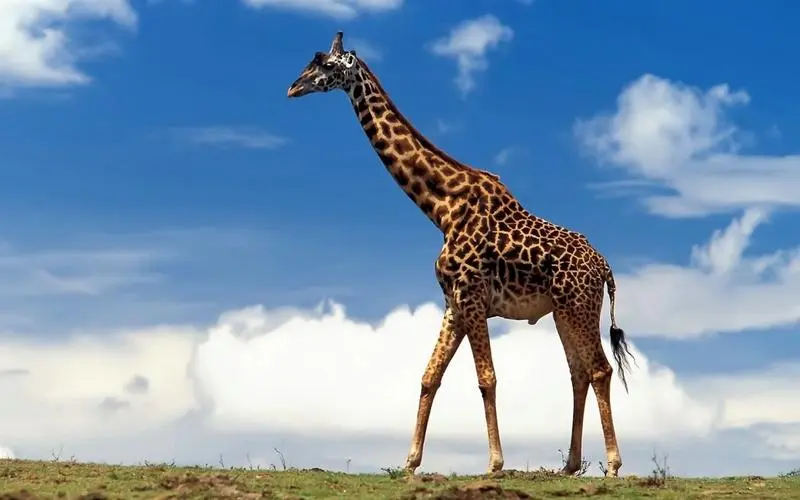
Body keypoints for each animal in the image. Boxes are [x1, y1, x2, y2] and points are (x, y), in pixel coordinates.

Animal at [288, 30, 636, 476]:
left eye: (326, 64)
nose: (293, 88)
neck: (440, 208)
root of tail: (605, 267)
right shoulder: (453, 302)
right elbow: (429, 376)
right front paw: (410, 462)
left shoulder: (471, 296)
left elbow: (487, 377)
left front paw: (495, 463)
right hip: (563, 310)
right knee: (578, 373)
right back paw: (571, 465)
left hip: (578, 305)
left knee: (599, 369)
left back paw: (612, 465)